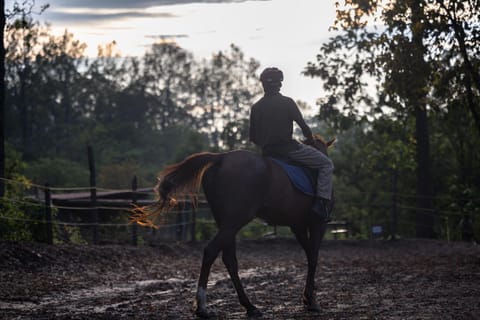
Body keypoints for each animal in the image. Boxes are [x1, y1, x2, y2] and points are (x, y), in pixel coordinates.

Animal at [131, 135, 334, 318]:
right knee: (211, 251)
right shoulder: (318, 224)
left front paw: (308, 297)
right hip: (235, 221)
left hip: (227, 222)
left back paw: (249, 306)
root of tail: (221, 158)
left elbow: (309, 255)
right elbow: (314, 257)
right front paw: (311, 300)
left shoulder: (297, 225)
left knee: (229, 259)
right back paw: (203, 307)